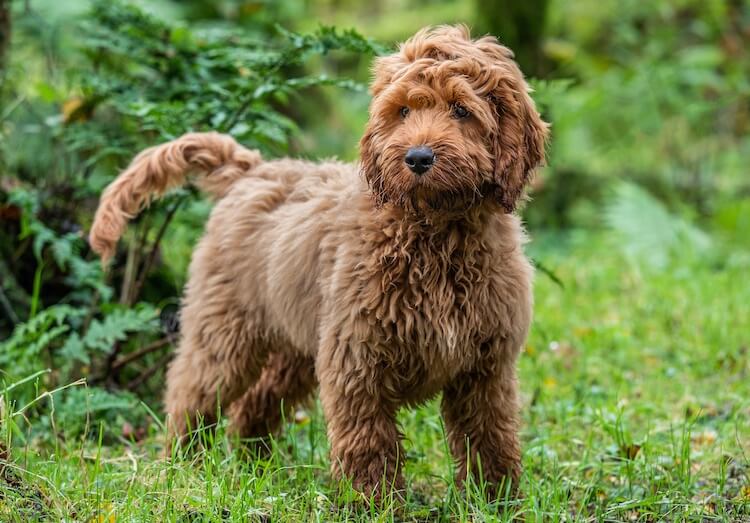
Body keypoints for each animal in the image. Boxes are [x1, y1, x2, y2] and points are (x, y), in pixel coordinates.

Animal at [88, 26, 548, 502]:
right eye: (402, 111)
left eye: (461, 109)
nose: (418, 158)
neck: (434, 233)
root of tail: (252, 170)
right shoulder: (356, 357)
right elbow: (368, 439)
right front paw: (373, 502)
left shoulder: (486, 368)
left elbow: (490, 435)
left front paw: (496, 499)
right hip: (225, 329)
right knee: (191, 392)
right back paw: (183, 465)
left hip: (295, 342)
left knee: (255, 403)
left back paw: (256, 467)